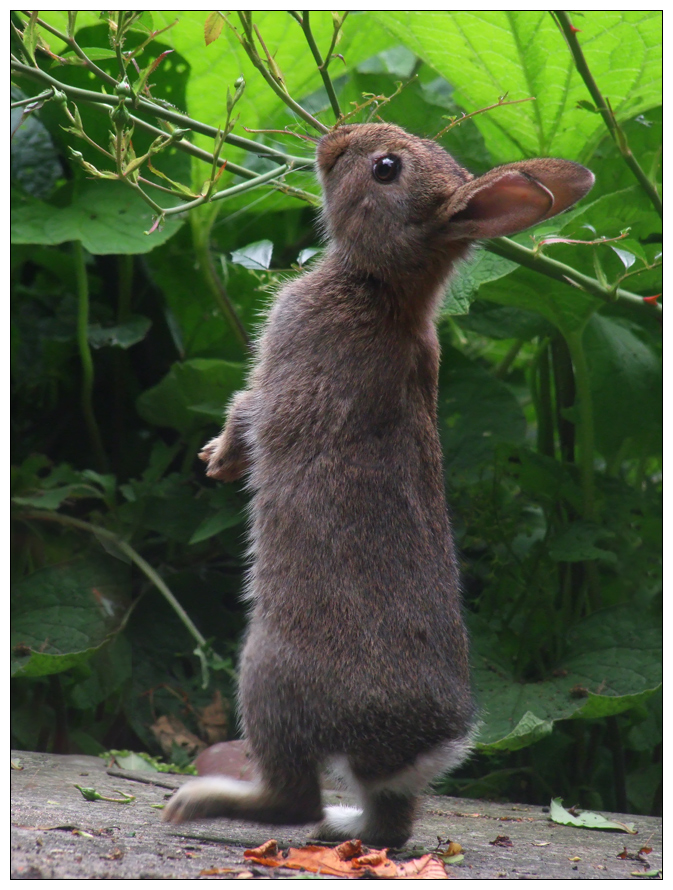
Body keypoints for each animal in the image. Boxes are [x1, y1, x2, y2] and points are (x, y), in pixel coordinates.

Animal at [160, 121, 592, 844]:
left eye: (385, 169)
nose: (335, 138)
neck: (379, 284)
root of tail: (423, 746)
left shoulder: (284, 376)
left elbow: (250, 411)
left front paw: (219, 457)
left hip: (268, 675)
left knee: (293, 797)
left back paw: (201, 804)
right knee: (389, 822)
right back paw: (345, 828)